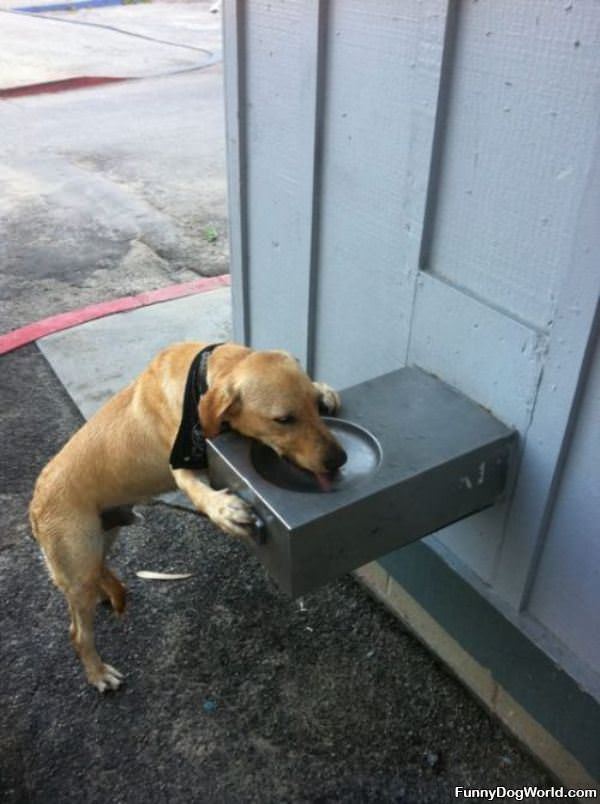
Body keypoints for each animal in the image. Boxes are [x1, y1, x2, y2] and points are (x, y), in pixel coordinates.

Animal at [29, 344, 346, 692]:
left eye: (313, 406)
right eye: (284, 420)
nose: (339, 460)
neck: (206, 373)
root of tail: (35, 500)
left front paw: (323, 388)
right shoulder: (181, 466)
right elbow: (197, 491)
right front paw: (223, 509)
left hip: (102, 538)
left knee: (98, 571)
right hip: (78, 562)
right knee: (78, 633)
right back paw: (98, 673)